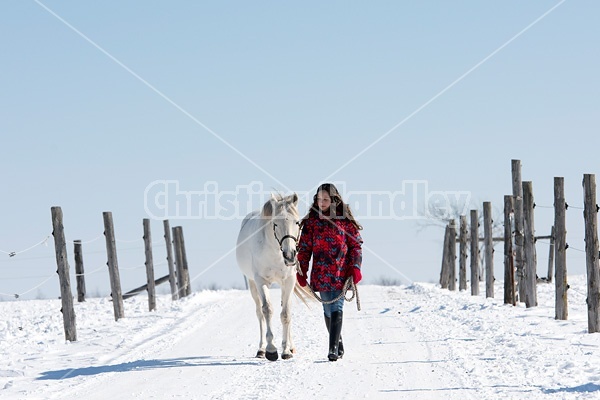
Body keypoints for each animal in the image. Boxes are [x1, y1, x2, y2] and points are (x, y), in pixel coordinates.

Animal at [236, 192, 308, 360]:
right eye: (275, 224)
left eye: (297, 222)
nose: (289, 255)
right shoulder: (260, 281)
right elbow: (267, 310)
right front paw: (271, 350)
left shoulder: (289, 281)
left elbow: (286, 313)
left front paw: (286, 350)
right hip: (252, 284)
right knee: (259, 313)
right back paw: (261, 349)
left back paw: (290, 346)